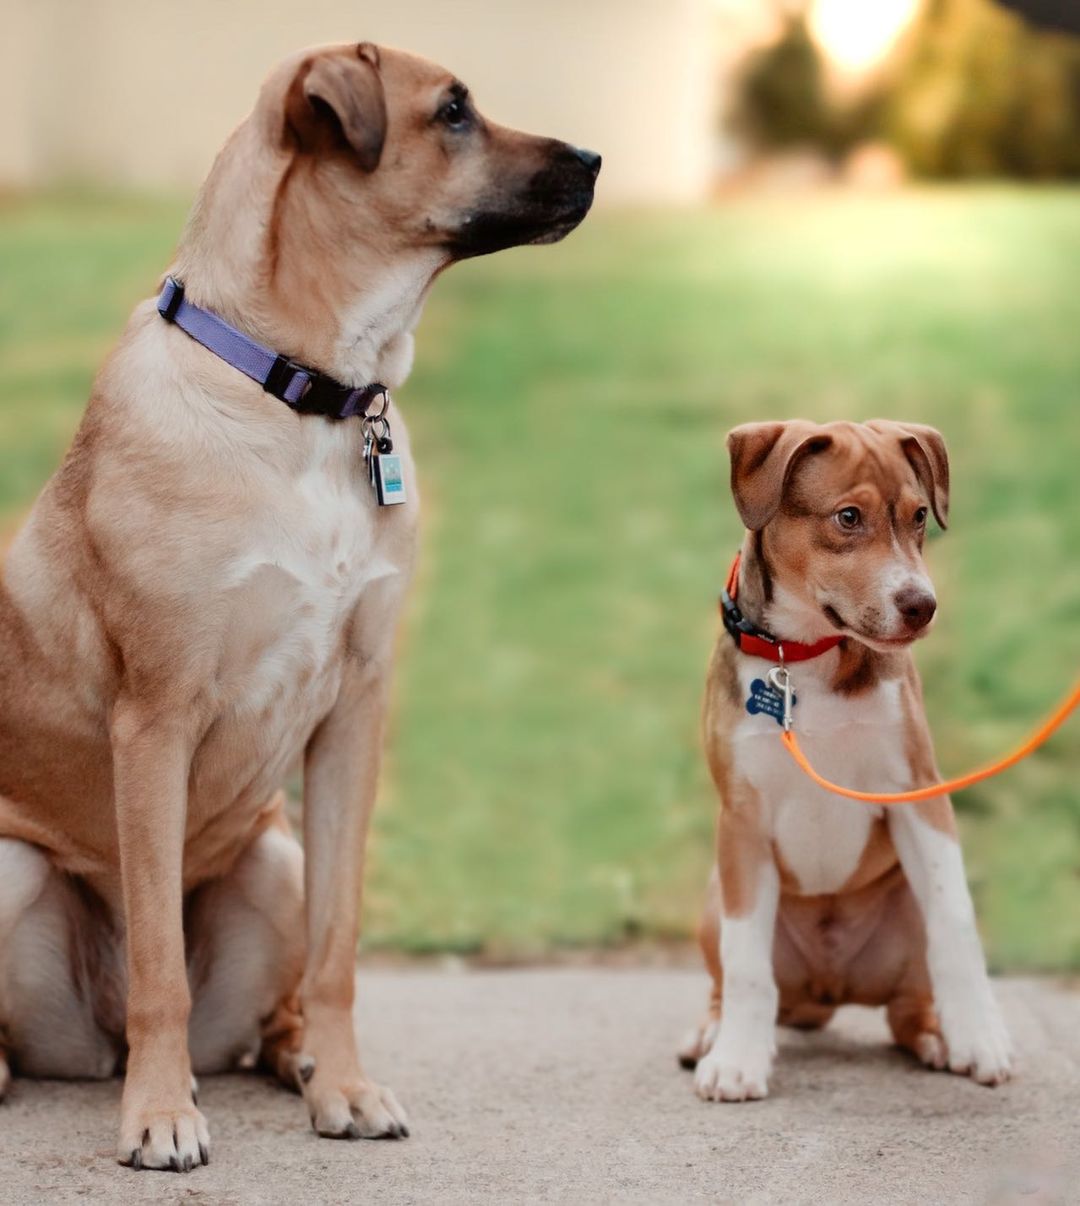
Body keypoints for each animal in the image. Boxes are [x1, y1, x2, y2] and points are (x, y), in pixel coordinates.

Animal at [0, 44, 597, 1167]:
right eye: (453, 111)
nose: (592, 158)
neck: (304, 395)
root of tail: (93, 1042)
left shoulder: (354, 711)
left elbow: (338, 947)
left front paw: (346, 1085)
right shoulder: (156, 719)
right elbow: (160, 964)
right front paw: (160, 1112)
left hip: (271, 858)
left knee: (272, 998)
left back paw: (298, 1061)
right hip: (10, 866)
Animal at [684, 422, 1012, 1104]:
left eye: (919, 517)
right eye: (848, 518)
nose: (921, 605)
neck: (805, 656)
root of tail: (829, 988)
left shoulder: (918, 793)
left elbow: (956, 925)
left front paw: (978, 1036)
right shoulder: (742, 821)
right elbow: (746, 962)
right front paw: (737, 1062)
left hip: (902, 919)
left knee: (909, 1006)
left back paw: (939, 1037)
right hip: (714, 895)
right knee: (730, 978)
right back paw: (712, 1033)